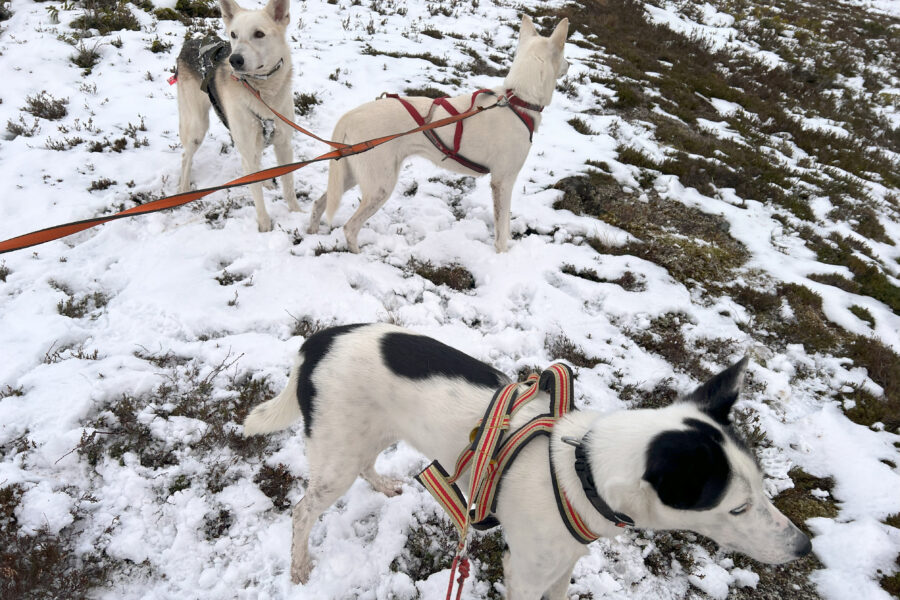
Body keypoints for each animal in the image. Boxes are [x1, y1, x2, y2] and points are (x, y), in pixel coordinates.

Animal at [176, 0, 298, 231]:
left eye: (259, 34)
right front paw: (264, 226)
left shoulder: (284, 144)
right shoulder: (248, 148)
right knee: (186, 156)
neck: (262, 93)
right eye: (233, 34)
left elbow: (289, 187)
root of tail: (190, 43)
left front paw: (299, 213)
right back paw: (183, 188)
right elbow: (257, 195)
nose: (235, 60)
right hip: (197, 126)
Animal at [243, 324, 812, 596]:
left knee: (364, 467)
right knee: (303, 511)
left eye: (763, 488)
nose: (805, 547)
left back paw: (383, 486)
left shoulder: (561, 570)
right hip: (337, 453)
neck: (579, 472)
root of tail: (316, 342)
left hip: (367, 436)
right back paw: (299, 567)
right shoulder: (526, 573)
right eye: (737, 507)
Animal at [306, 15, 568, 252]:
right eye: (564, 53)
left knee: (319, 203)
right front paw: (504, 255)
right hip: (380, 185)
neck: (517, 100)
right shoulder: (503, 181)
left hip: (351, 174)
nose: (569, 65)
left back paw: (311, 233)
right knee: (350, 228)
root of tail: (350, 116)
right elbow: (502, 231)